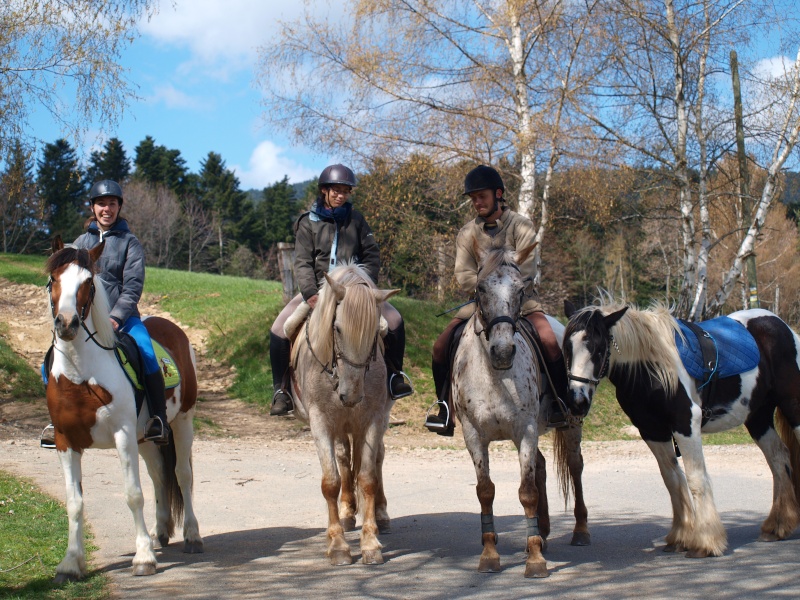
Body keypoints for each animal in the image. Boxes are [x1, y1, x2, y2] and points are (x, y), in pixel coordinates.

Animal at [43, 238, 203, 580]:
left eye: (88, 283)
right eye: (53, 280)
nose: (67, 324)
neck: (80, 376)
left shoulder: (123, 434)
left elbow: (133, 494)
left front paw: (143, 558)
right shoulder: (65, 442)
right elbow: (74, 501)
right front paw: (70, 562)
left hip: (182, 422)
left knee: (182, 475)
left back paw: (192, 536)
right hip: (146, 438)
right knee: (159, 475)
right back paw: (161, 531)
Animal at [290, 260, 398, 564]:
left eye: (376, 332)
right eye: (336, 328)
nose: (350, 395)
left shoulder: (372, 419)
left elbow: (368, 478)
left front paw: (370, 543)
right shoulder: (321, 423)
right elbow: (331, 481)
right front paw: (338, 545)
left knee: (376, 459)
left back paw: (381, 515)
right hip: (340, 426)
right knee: (343, 458)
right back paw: (348, 512)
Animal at [564, 300, 800, 556]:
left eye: (598, 350)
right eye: (567, 348)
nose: (577, 401)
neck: (652, 367)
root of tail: (783, 327)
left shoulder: (686, 424)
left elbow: (696, 479)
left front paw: (706, 541)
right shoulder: (652, 431)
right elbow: (673, 480)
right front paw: (681, 536)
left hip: (792, 407)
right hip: (758, 418)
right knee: (778, 457)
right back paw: (777, 526)